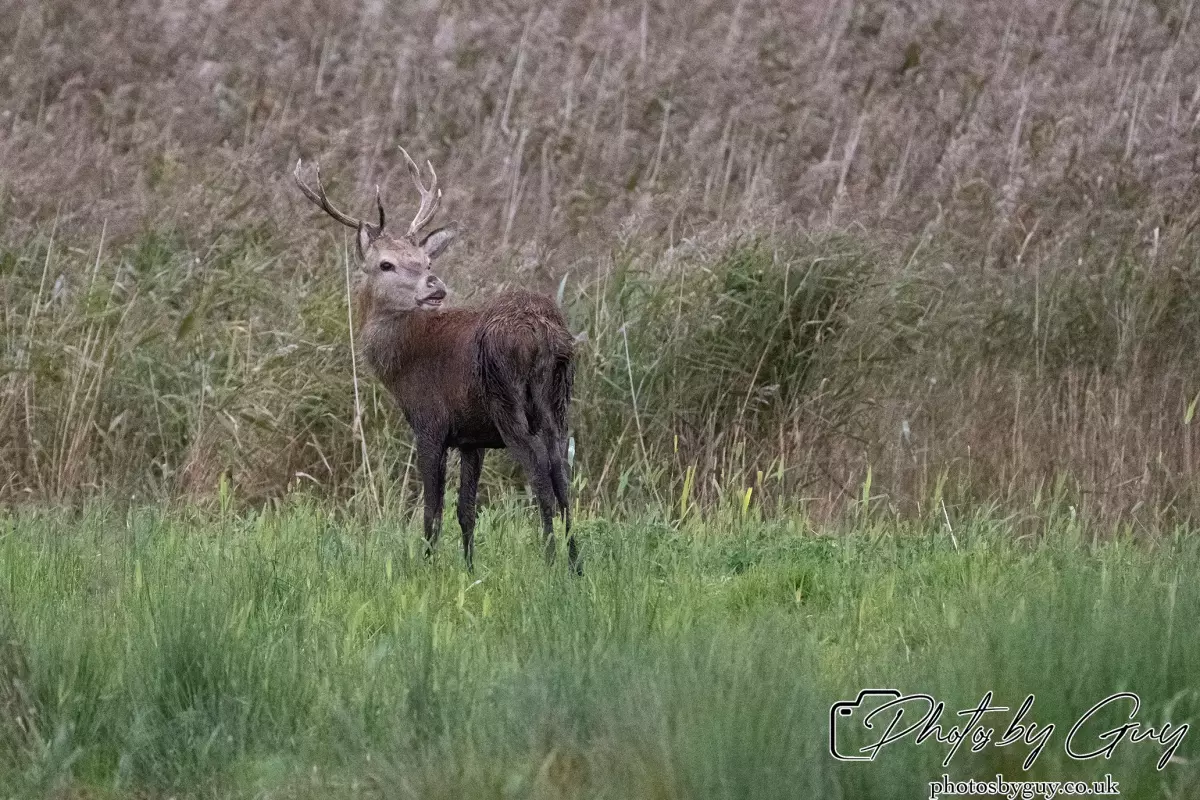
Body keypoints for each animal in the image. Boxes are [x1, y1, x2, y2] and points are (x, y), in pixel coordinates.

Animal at [293, 147, 580, 574]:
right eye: (386, 264)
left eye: (425, 261)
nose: (435, 285)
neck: (402, 364)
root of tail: (544, 332)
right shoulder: (472, 437)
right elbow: (466, 510)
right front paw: (469, 570)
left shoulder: (430, 423)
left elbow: (432, 511)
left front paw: (427, 569)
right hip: (559, 399)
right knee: (563, 471)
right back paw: (577, 564)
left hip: (508, 399)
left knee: (540, 470)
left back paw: (549, 561)